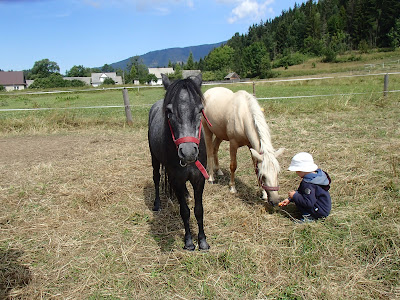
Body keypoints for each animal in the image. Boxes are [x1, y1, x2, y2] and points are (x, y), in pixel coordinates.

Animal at [147, 73, 209, 251]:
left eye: (200, 109)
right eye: (169, 111)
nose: (188, 152)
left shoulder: (199, 179)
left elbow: (199, 210)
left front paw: (203, 241)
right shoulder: (177, 179)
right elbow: (185, 211)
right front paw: (189, 242)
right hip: (154, 158)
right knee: (156, 178)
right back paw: (157, 204)